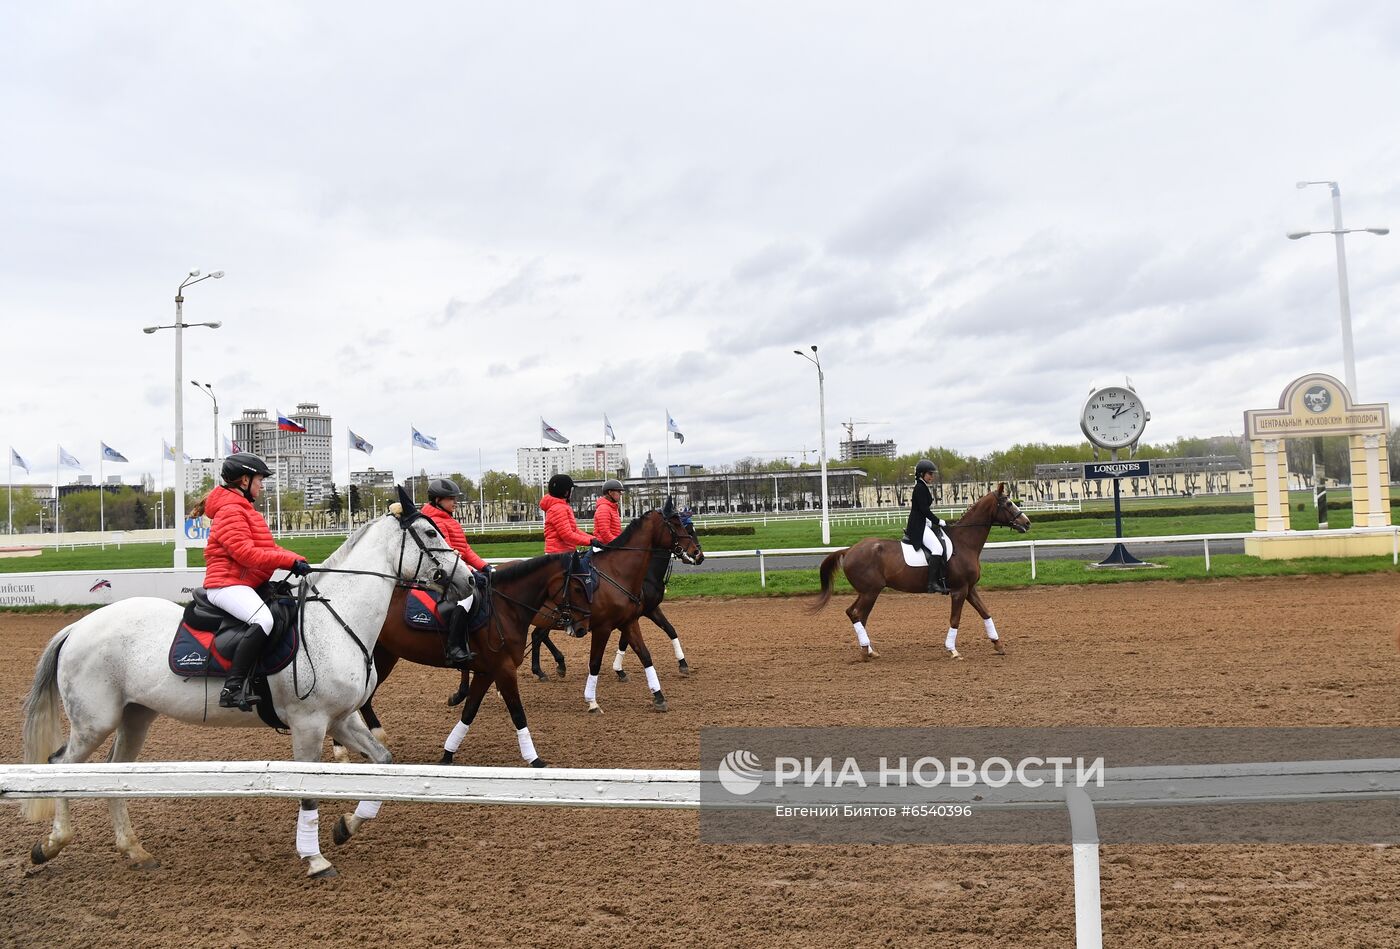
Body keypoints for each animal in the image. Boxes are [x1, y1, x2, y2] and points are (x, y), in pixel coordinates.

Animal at [17, 495, 476, 879]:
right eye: (431, 533)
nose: (471, 579)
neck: (336, 618)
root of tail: (78, 627)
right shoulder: (309, 725)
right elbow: (309, 793)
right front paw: (315, 859)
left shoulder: (340, 720)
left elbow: (382, 762)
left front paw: (346, 826)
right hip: (95, 722)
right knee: (63, 766)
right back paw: (51, 845)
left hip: (135, 717)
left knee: (115, 775)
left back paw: (134, 850)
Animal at [812, 484, 1030, 660]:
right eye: (1008, 503)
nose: (1027, 523)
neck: (964, 542)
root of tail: (849, 550)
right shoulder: (959, 590)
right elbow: (955, 619)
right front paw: (952, 650)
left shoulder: (969, 588)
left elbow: (985, 612)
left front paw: (998, 644)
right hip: (870, 592)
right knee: (857, 614)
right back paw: (866, 651)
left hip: (867, 592)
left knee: (857, 615)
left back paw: (869, 650)